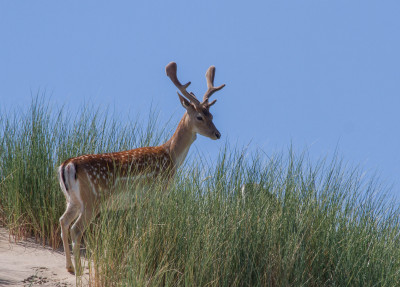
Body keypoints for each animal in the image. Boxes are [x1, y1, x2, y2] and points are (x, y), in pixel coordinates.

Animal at [57, 62, 225, 274]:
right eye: (199, 117)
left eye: (211, 114)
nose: (218, 134)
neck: (171, 156)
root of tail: (67, 165)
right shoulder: (158, 191)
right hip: (92, 200)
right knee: (76, 228)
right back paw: (79, 269)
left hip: (72, 200)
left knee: (63, 221)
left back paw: (70, 266)